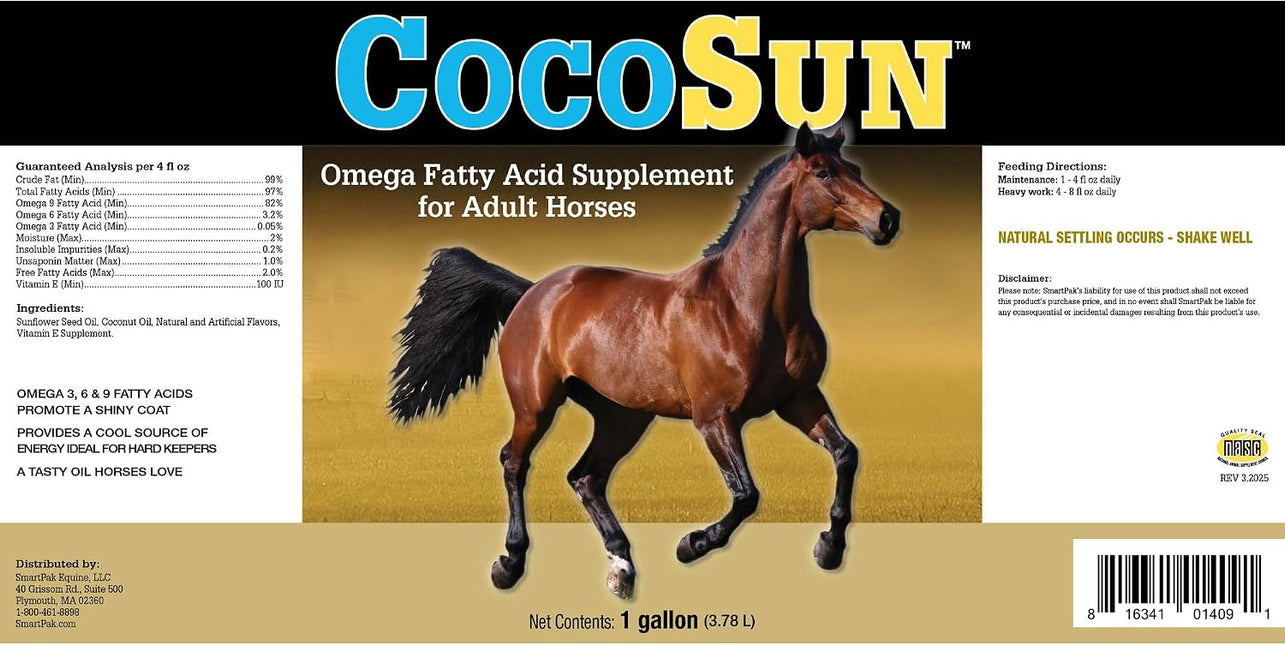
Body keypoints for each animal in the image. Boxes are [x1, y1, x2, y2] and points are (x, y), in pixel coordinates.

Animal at [389, 124, 900, 599]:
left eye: (855, 169)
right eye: (824, 172)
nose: (887, 218)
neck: (745, 306)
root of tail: (533, 292)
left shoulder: (799, 400)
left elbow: (846, 454)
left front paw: (829, 547)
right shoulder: (715, 418)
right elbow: (746, 495)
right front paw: (691, 544)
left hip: (623, 416)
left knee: (586, 477)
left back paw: (622, 568)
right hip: (536, 406)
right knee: (515, 462)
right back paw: (510, 565)